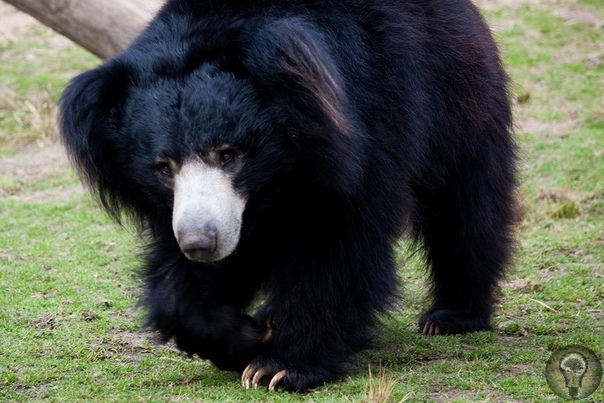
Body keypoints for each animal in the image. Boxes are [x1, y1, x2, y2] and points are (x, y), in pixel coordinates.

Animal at [59, 0, 516, 392]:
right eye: (164, 167)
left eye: (229, 153)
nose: (199, 243)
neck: (281, 175)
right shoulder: (207, 211)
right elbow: (180, 282)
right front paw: (247, 335)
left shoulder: (365, 122)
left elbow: (337, 243)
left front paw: (280, 368)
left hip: (458, 98)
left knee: (463, 207)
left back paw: (452, 315)